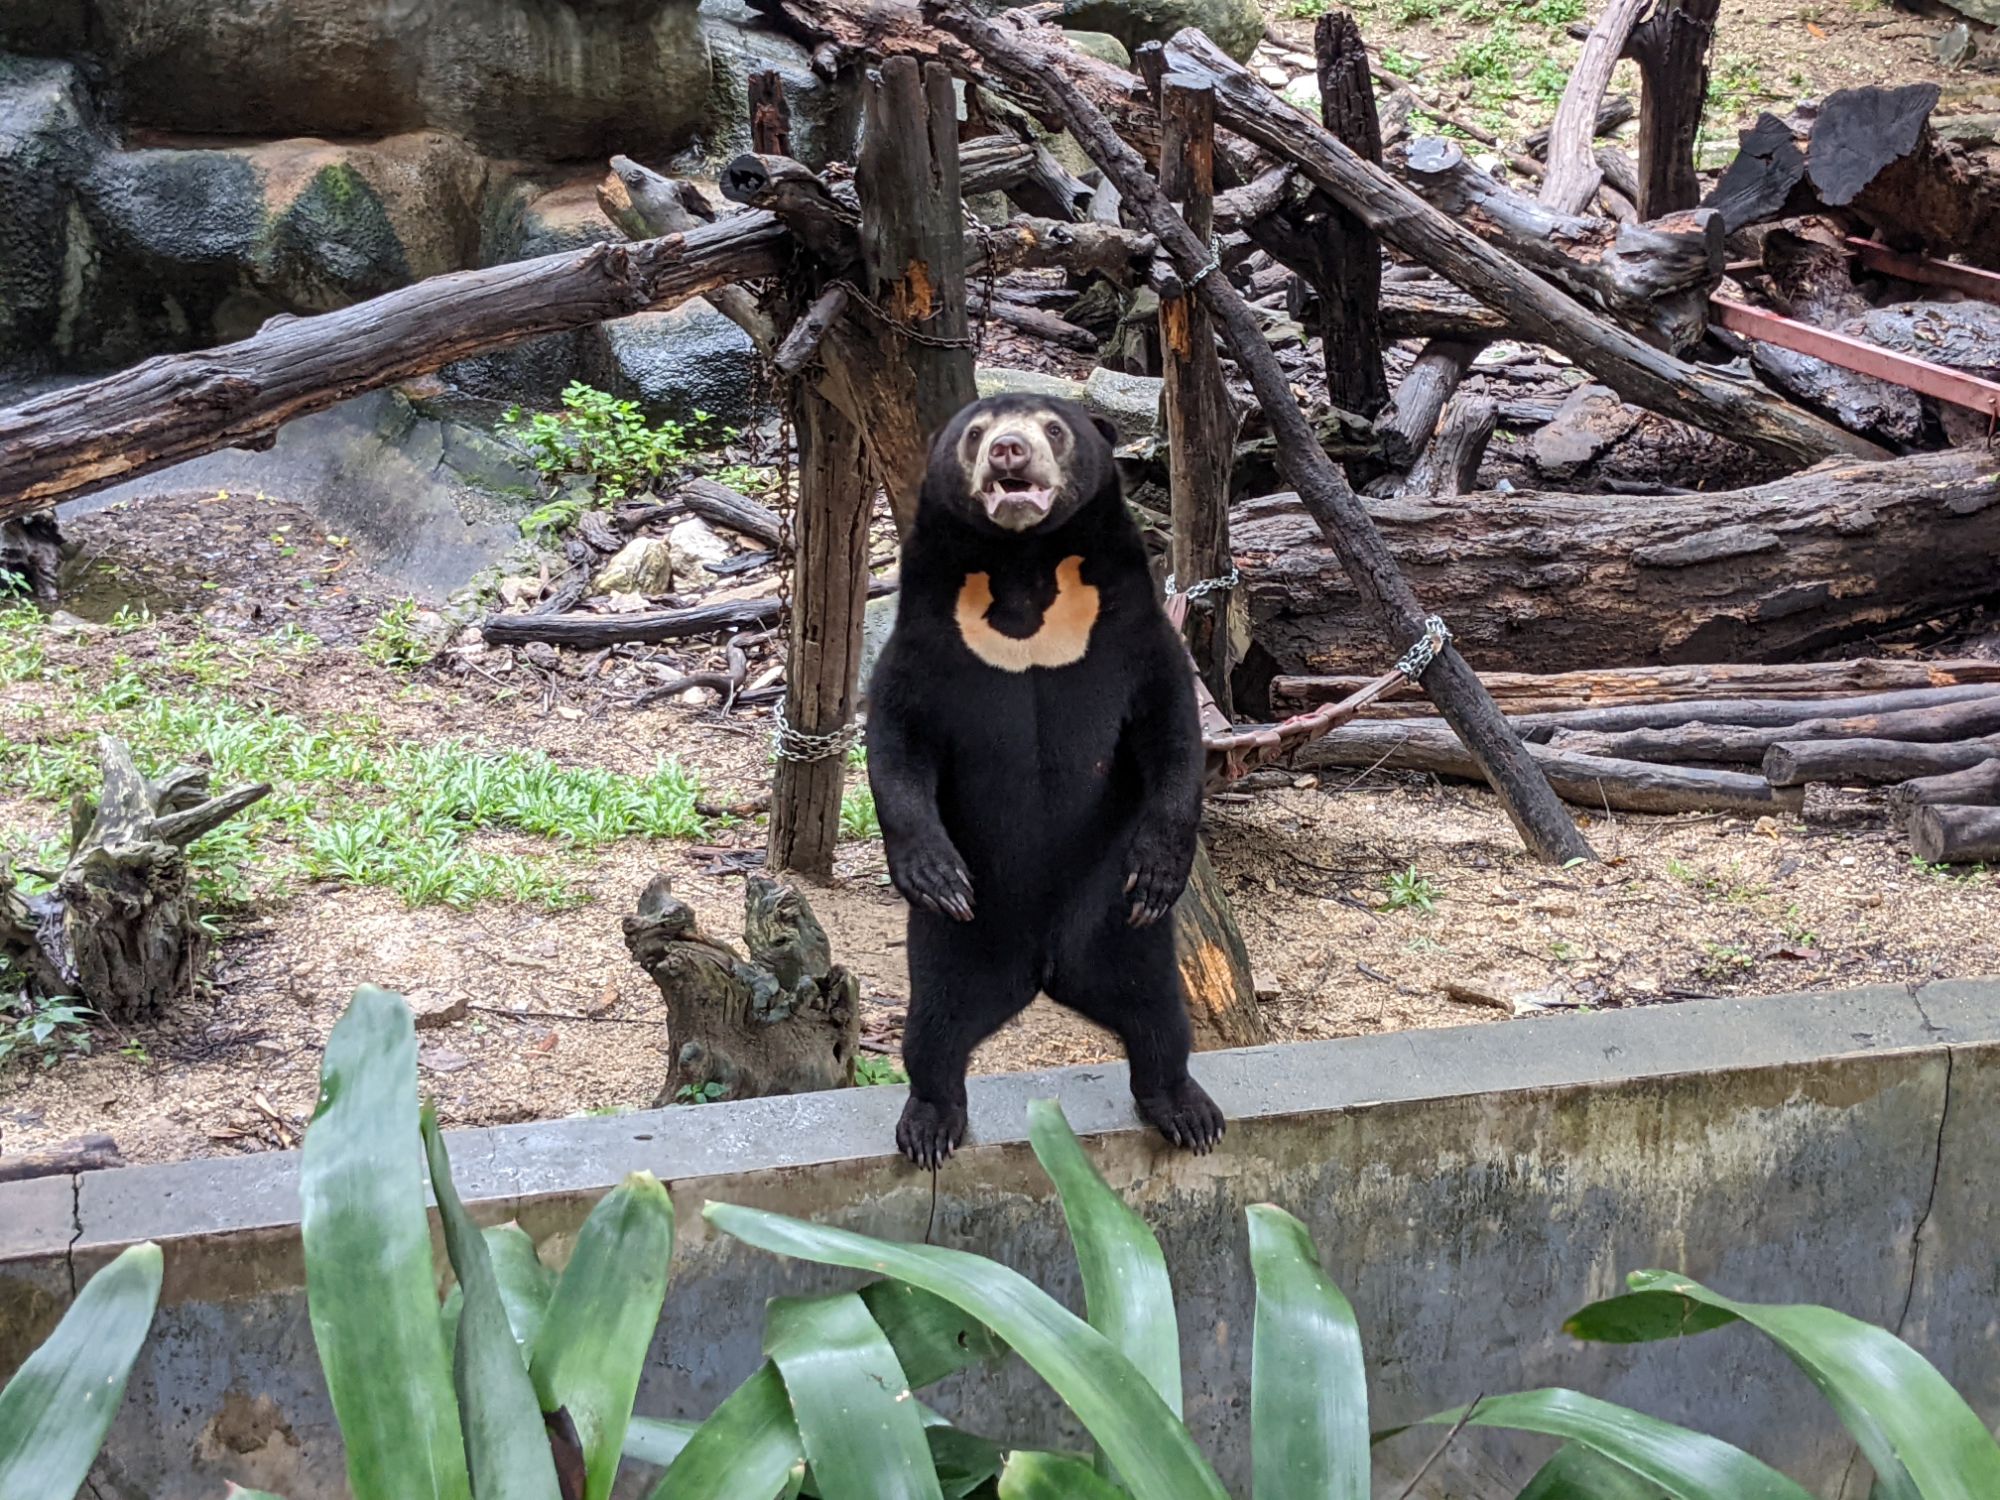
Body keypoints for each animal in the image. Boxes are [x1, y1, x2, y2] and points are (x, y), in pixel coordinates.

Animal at [860, 394, 1216, 1168]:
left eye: (1053, 428)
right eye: (975, 434)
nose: (1010, 451)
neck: (1023, 570)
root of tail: (1045, 970)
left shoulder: (1134, 631)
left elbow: (1173, 725)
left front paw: (1160, 870)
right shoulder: (926, 637)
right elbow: (896, 736)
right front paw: (933, 873)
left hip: (1115, 921)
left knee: (1156, 1014)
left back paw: (1187, 1111)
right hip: (960, 942)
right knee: (934, 1027)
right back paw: (929, 1124)